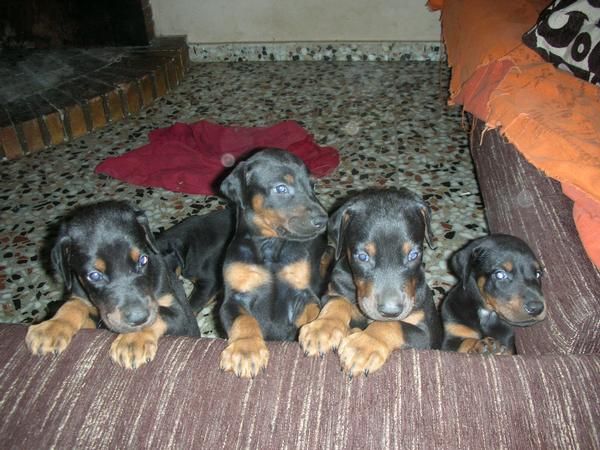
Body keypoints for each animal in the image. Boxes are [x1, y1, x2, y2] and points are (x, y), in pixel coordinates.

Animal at [25, 201, 199, 370]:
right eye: (94, 275)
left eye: (143, 260)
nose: (138, 318)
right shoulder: (83, 299)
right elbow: (73, 304)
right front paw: (51, 328)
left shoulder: (183, 318)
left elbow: (160, 315)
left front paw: (132, 342)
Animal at [218, 149, 328, 378]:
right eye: (281, 188)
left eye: (313, 185)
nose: (324, 220)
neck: (271, 248)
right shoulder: (234, 298)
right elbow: (243, 319)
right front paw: (246, 350)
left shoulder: (302, 294)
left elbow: (314, 309)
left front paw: (319, 330)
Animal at [298, 188, 440, 378]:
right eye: (362, 256)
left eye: (413, 255)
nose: (390, 311)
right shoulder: (332, 291)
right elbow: (338, 301)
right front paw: (322, 329)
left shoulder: (426, 335)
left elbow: (393, 325)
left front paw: (364, 346)